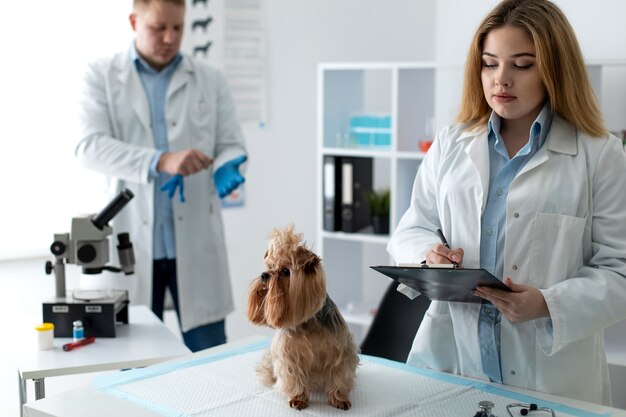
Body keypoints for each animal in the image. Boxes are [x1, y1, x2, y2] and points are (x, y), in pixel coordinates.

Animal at [246, 226, 358, 408]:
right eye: (270, 266)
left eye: (285, 271)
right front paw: (298, 398)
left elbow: (339, 374)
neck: (307, 321)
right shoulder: (289, 355)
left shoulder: (341, 351)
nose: (264, 275)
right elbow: (294, 376)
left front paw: (339, 399)